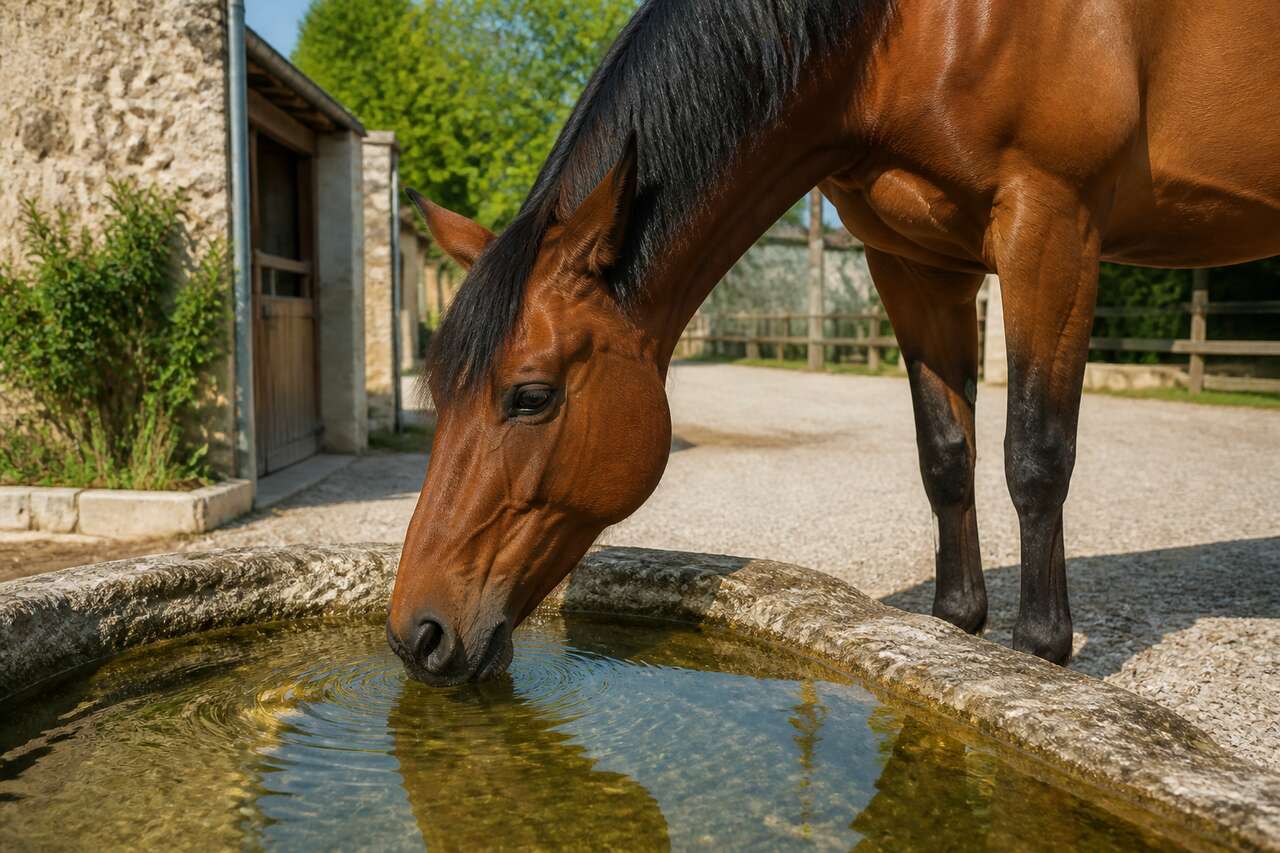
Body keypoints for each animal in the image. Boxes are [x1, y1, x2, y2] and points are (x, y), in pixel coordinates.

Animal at [386, 0, 1280, 684]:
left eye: (531, 395)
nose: (416, 634)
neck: (914, 29)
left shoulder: (1051, 228)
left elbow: (1035, 456)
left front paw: (1039, 654)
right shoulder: (914, 261)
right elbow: (945, 455)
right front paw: (955, 633)